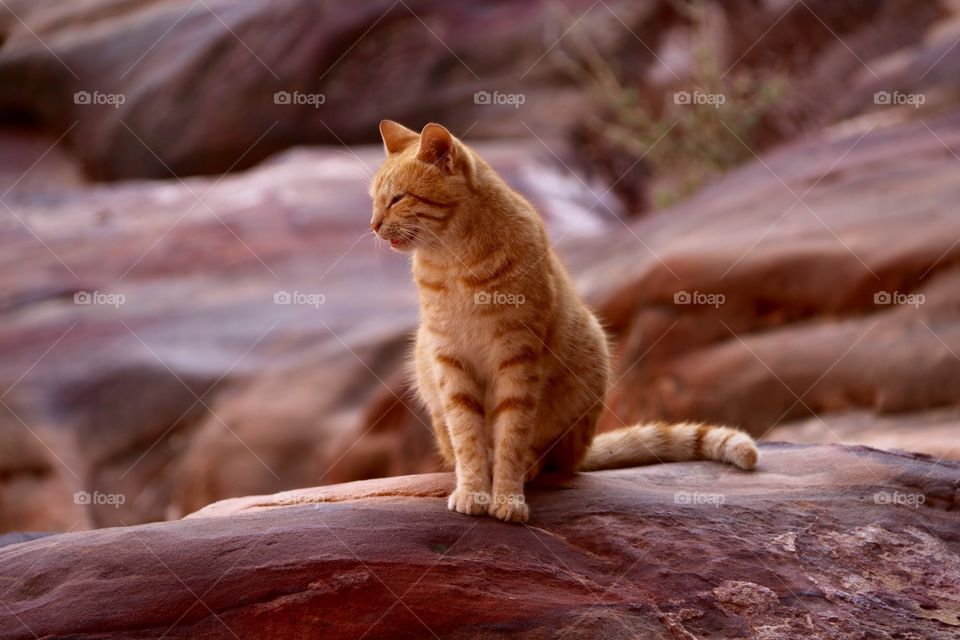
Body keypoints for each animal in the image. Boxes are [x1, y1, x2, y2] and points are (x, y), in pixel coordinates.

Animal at [368, 121, 756, 524]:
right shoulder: (450, 360)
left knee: (552, 458)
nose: (373, 225)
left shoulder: (518, 358)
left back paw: (530, 466)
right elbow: (468, 437)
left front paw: (507, 497)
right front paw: (474, 489)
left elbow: (511, 436)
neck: (453, 260)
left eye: (398, 198)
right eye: (375, 200)